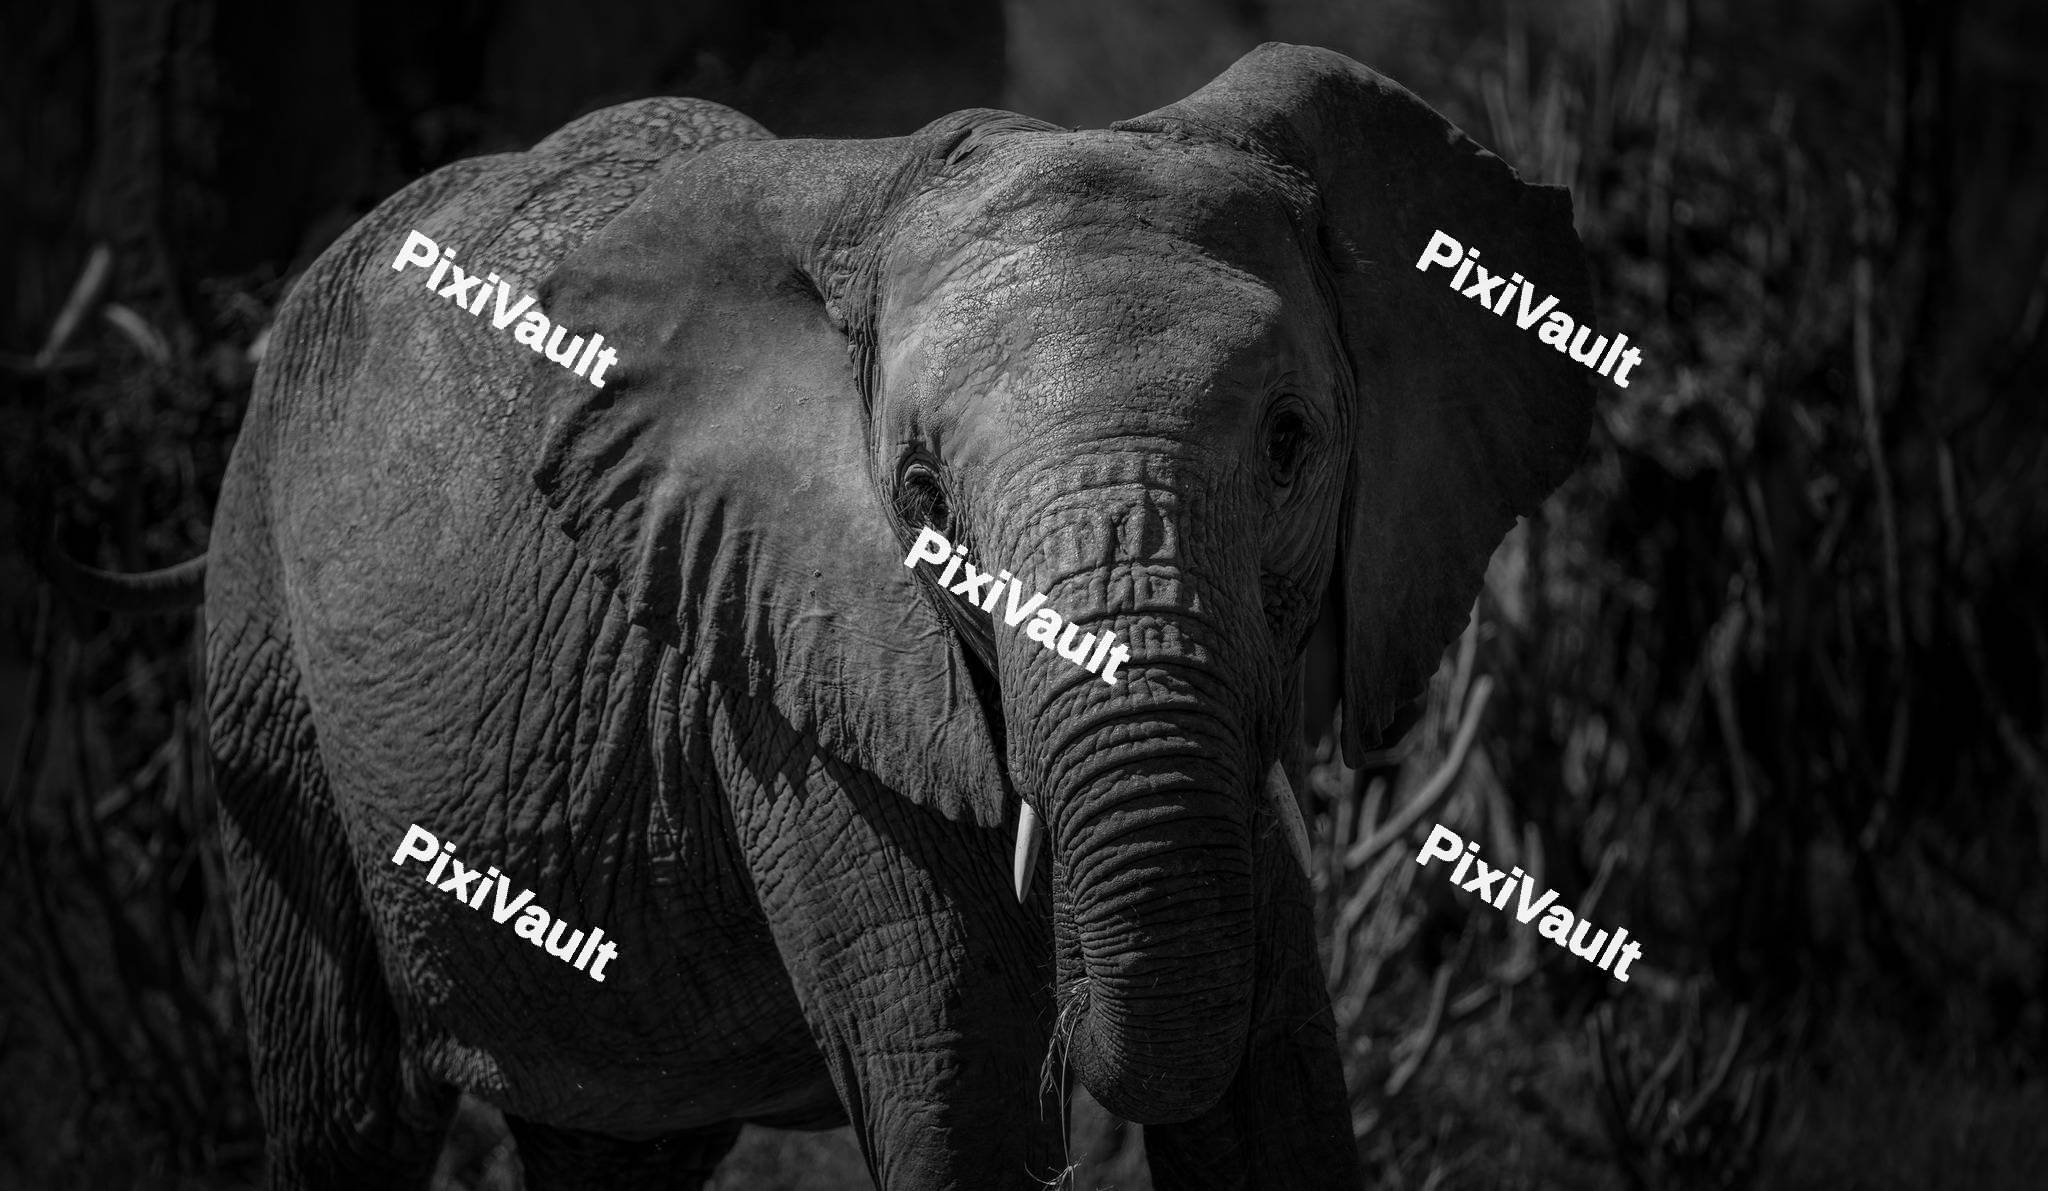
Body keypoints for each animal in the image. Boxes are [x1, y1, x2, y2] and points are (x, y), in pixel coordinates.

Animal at [44, 41, 1594, 1191]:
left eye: (1288, 444)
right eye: (918, 491)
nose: (1076, 1056)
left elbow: (1276, 1089)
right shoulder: (789, 688)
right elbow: (952, 1091)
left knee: (616, 1143)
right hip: (261, 656)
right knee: (346, 1115)